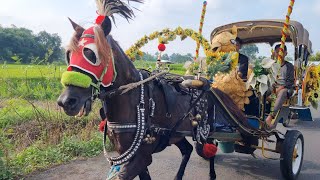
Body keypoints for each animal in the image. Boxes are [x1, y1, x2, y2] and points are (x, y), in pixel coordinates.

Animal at [58, 0, 250, 179]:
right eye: (68, 54)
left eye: (92, 54)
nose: (66, 101)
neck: (134, 101)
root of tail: (209, 86)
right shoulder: (131, 155)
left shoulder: (142, 156)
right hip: (176, 133)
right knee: (187, 149)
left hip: (205, 130)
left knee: (209, 150)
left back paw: (212, 174)